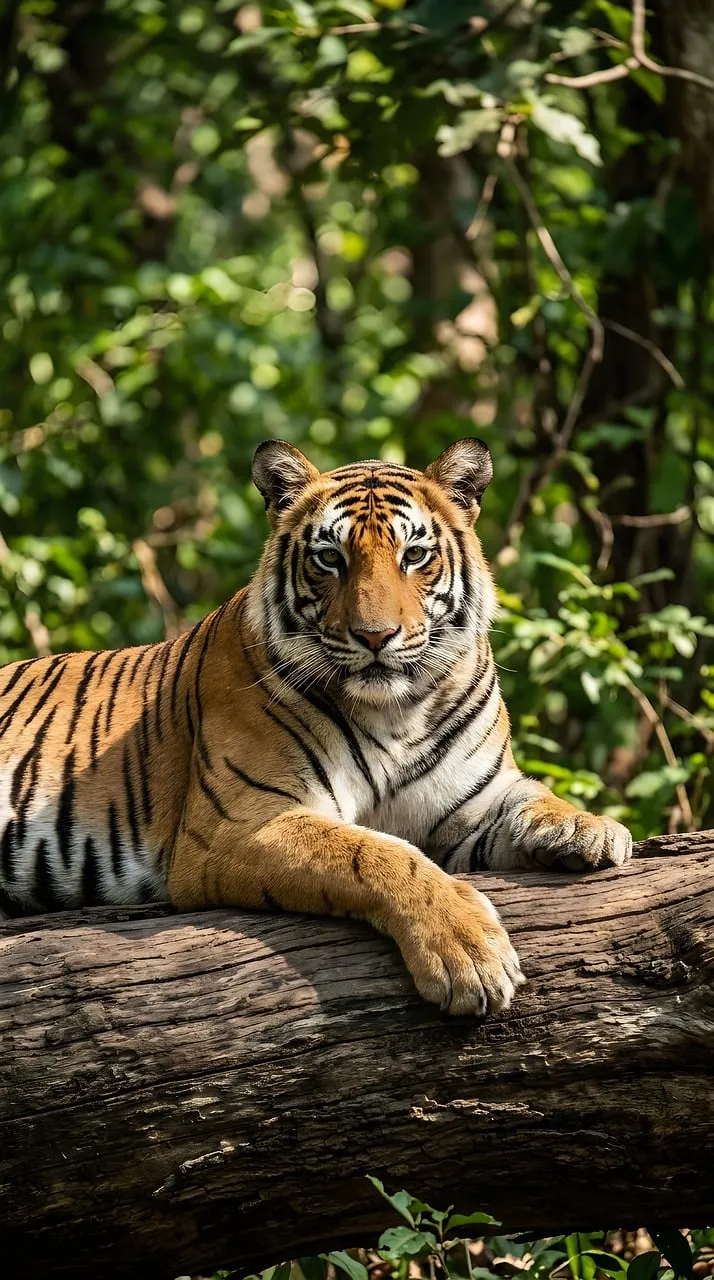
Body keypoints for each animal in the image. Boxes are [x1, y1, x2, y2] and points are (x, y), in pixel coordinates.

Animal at [0, 438, 632, 1014]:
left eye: (414, 555)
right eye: (331, 558)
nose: (376, 636)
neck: (398, 712)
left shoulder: (469, 804)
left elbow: (532, 797)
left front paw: (590, 829)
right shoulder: (241, 824)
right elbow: (377, 855)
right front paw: (469, 955)